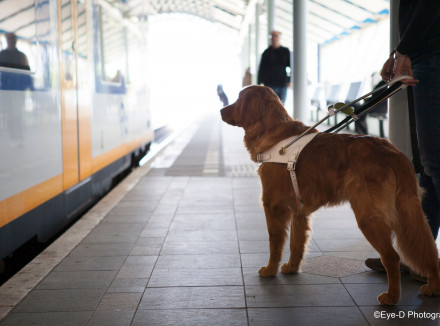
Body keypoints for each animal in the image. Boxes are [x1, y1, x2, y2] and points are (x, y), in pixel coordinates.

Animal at [220, 84, 440, 306]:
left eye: (238, 100)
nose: (221, 110)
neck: (275, 136)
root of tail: (392, 152)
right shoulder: (299, 212)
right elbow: (296, 243)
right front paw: (292, 267)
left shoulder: (273, 206)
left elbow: (275, 244)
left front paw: (270, 270)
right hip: (408, 212)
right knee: (428, 250)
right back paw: (432, 287)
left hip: (369, 216)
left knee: (393, 257)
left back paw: (391, 296)